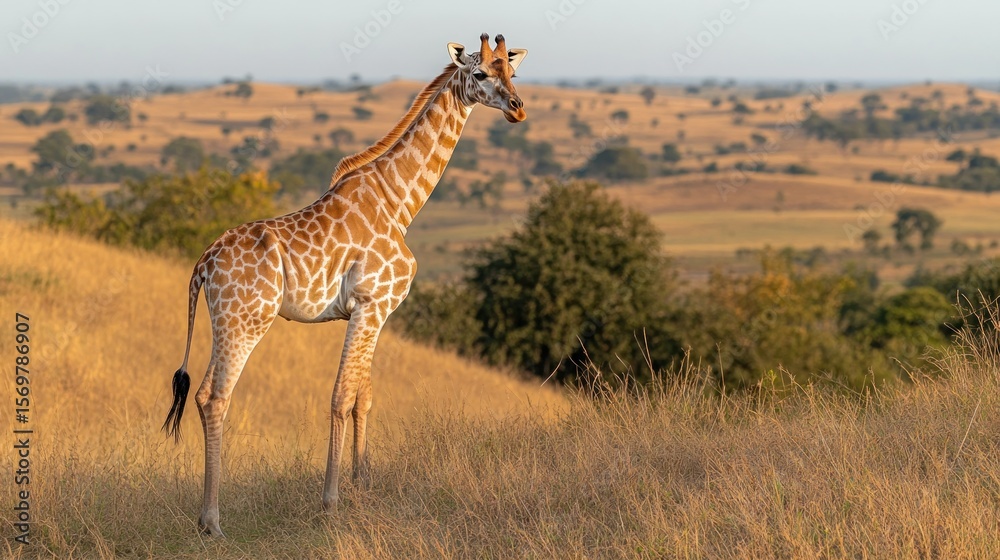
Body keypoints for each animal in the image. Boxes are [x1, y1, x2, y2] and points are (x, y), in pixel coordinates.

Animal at [161, 33, 528, 537]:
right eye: (479, 73)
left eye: (512, 70)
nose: (517, 108)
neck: (399, 202)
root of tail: (202, 264)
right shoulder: (371, 303)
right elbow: (339, 397)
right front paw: (331, 501)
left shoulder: (372, 310)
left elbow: (363, 398)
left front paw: (363, 487)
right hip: (245, 322)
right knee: (215, 398)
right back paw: (212, 521)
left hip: (228, 322)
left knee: (200, 395)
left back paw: (206, 517)